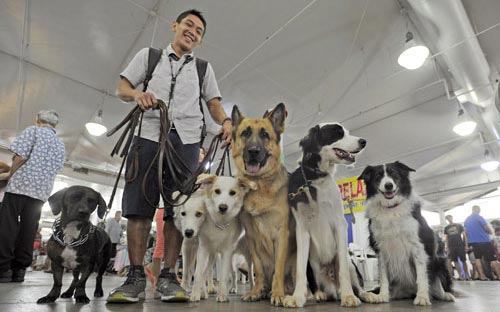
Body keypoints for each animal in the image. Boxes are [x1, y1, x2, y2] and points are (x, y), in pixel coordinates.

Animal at [189, 174, 256, 302]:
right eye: (217, 191)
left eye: (233, 193)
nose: (223, 207)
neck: (220, 223)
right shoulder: (204, 249)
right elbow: (199, 272)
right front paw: (195, 293)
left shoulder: (226, 252)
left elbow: (224, 276)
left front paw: (222, 295)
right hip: (220, 257)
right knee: (230, 274)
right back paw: (228, 288)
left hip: (246, 257)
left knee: (250, 273)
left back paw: (252, 289)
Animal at [284, 123, 374, 308]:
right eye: (338, 133)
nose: (363, 142)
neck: (315, 178)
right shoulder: (301, 229)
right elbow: (300, 269)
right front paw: (298, 297)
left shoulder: (340, 223)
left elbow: (343, 271)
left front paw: (348, 296)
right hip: (315, 268)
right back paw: (320, 294)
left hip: (350, 263)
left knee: (358, 286)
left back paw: (365, 295)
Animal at [358, 162, 456, 306]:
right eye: (378, 176)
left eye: (394, 174)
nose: (388, 185)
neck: (391, 208)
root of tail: (409, 291)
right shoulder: (381, 249)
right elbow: (383, 277)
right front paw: (382, 295)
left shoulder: (418, 247)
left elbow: (422, 275)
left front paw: (422, 297)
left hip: (440, 261)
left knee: (436, 280)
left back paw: (444, 295)